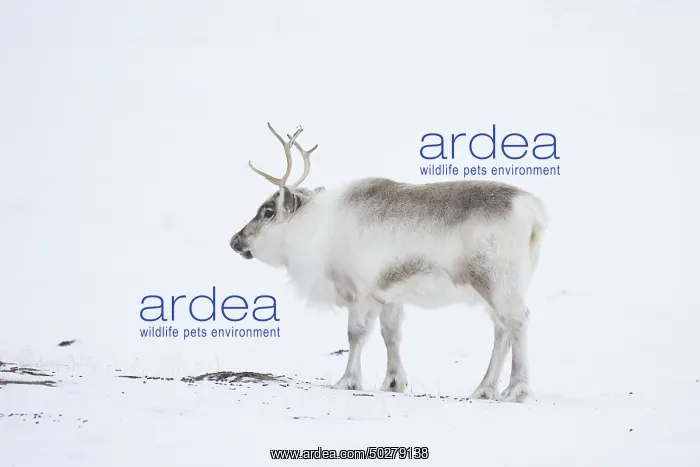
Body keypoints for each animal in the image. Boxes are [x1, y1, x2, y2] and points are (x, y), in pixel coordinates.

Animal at [229, 122, 549, 403]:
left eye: (268, 211)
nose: (235, 240)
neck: (316, 230)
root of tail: (533, 211)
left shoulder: (359, 292)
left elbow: (355, 335)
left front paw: (347, 380)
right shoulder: (389, 296)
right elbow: (391, 335)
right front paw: (393, 382)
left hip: (497, 281)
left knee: (517, 320)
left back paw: (516, 390)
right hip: (494, 288)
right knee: (501, 328)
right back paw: (484, 389)